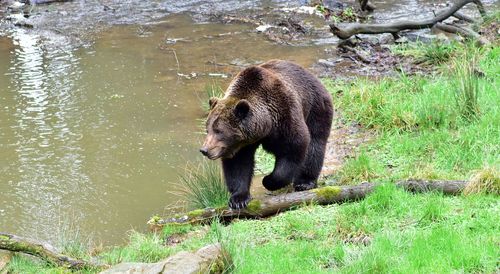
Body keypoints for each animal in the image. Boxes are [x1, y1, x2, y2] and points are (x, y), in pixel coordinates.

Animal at [199, 60, 332, 209]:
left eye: (219, 131)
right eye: (208, 129)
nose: (205, 150)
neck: (266, 125)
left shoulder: (285, 115)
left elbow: (295, 146)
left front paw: (268, 180)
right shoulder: (240, 145)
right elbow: (238, 165)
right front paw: (238, 199)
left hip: (316, 106)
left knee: (315, 143)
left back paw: (305, 182)